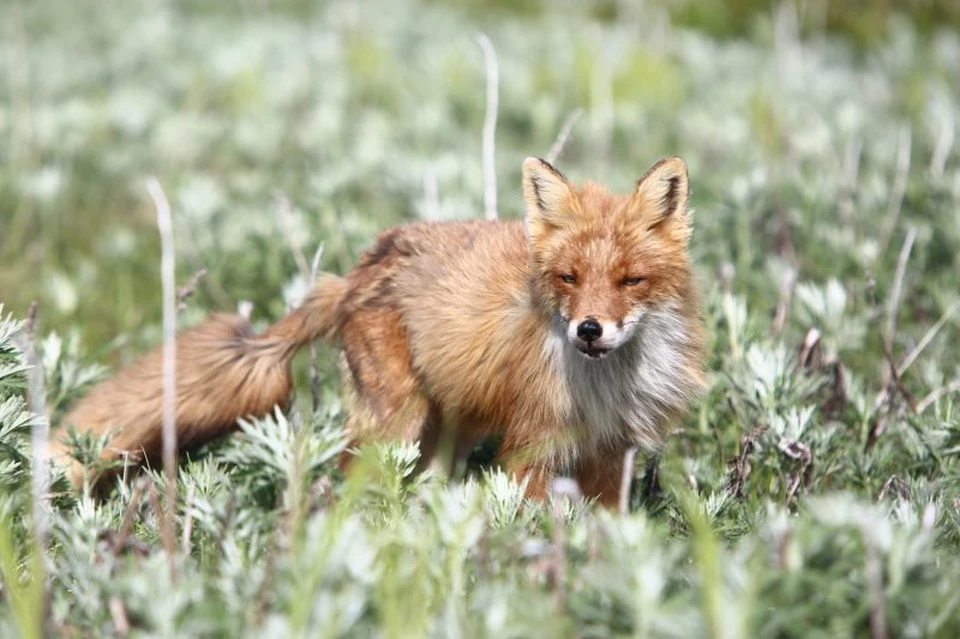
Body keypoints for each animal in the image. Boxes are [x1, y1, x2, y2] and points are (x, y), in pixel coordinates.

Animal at [54, 158, 712, 508]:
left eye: (630, 280)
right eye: (568, 278)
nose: (589, 330)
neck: (604, 386)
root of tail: (355, 272)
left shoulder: (611, 454)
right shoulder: (531, 445)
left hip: (441, 435)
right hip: (396, 425)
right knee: (345, 483)